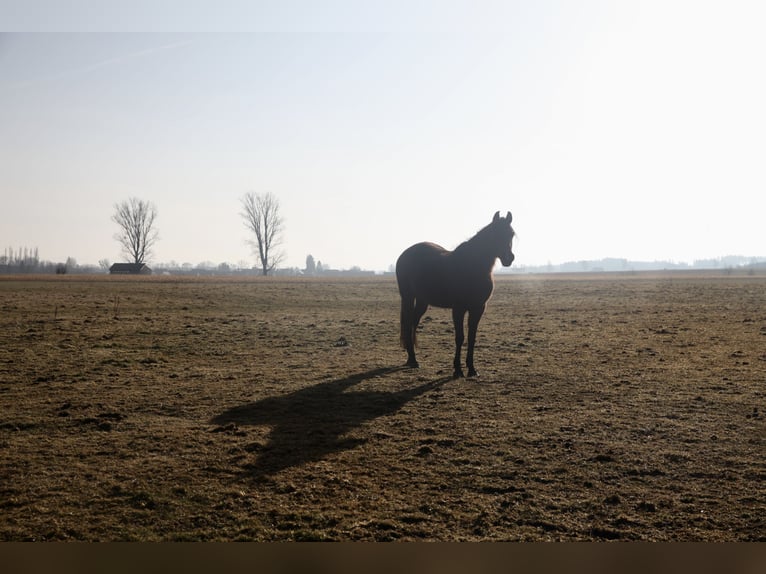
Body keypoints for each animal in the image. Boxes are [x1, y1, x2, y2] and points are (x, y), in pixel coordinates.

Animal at [396, 211, 515, 378]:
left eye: (511, 234)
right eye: (494, 233)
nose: (509, 258)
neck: (473, 266)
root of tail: (405, 254)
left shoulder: (478, 308)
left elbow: (472, 338)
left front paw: (472, 369)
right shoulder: (458, 309)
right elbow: (460, 337)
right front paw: (458, 369)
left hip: (422, 301)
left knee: (413, 323)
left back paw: (411, 358)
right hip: (408, 297)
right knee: (408, 324)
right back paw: (413, 360)